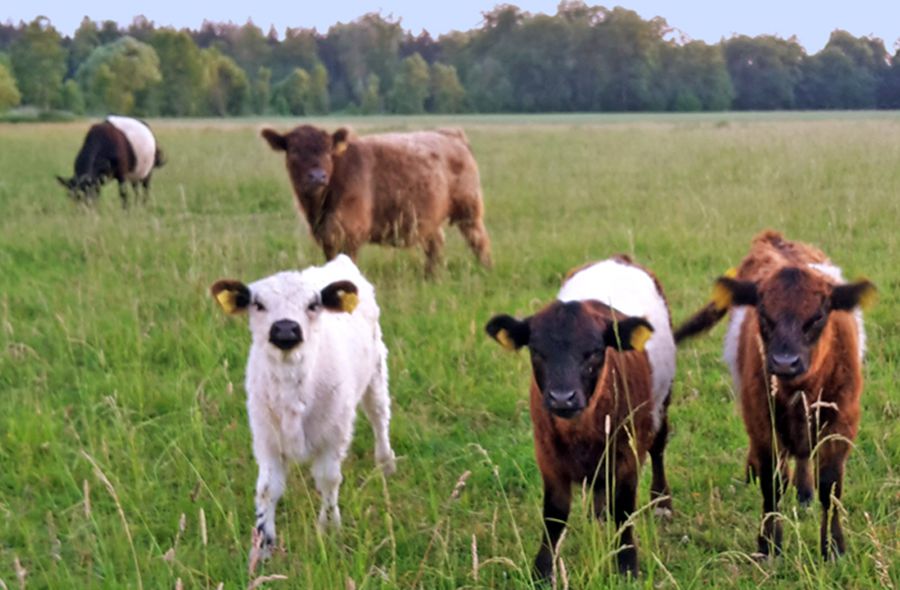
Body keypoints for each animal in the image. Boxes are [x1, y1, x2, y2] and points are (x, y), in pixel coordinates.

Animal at [213, 256, 396, 556]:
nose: (286, 329)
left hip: (377, 372)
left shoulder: (334, 434)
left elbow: (329, 479)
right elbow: (267, 489)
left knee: (380, 419)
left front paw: (329, 528)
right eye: (258, 304)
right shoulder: (265, 437)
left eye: (313, 304)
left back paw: (386, 464)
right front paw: (263, 546)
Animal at [262, 125, 492, 278]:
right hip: (427, 217)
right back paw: (430, 278)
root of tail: (451, 133)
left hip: (469, 210)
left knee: (478, 240)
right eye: (293, 151)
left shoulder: (350, 233)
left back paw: (485, 270)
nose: (317, 176)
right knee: (435, 245)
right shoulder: (328, 237)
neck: (318, 208)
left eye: (328, 150)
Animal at [680, 230, 876, 560]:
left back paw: (805, 492)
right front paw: (769, 543)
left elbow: (830, 485)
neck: (800, 388)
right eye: (763, 313)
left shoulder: (842, 419)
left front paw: (833, 547)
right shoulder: (762, 418)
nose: (785, 362)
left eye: (818, 316)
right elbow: (773, 483)